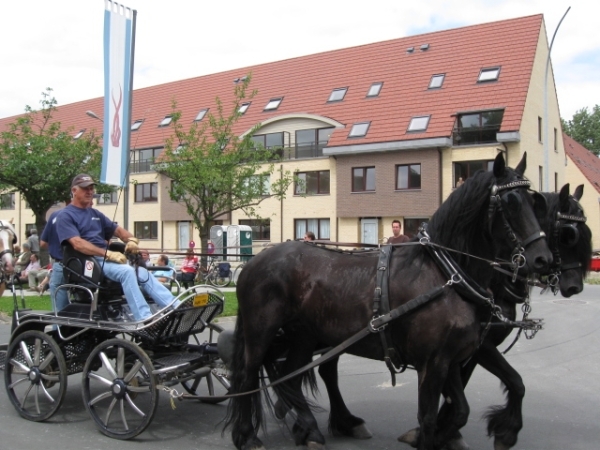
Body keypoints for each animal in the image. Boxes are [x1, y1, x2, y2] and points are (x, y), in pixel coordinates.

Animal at [226, 152, 552, 450]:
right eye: (511, 203)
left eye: (535, 202)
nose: (543, 259)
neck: (445, 274)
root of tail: (254, 262)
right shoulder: (434, 362)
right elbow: (428, 417)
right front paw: (431, 436)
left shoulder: (452, 357)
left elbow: (463, 409)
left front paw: (473, 434)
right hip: (261, 332)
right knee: (248, 375)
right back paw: (247, 435)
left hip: (305, 336)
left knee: (290, 377)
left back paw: (312, 430)